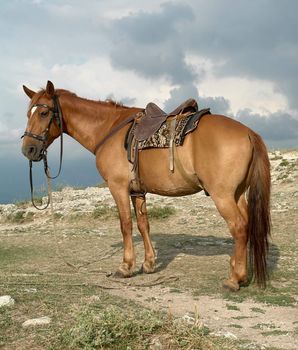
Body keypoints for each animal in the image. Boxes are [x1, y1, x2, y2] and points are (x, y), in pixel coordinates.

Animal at [22, 80, 272, 292]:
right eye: (28, 113)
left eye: (44, 112)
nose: (28, 150)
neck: (109, 129)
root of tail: (249, 133)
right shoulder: (137, 191)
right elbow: (143, 225)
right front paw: (149, 264)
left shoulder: (118, 188)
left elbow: (126, 225)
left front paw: (125, 267)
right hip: (237, 194)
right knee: (246, 225)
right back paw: (239, 272)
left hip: (223, 196)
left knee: (238, 227)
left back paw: (234, 279)